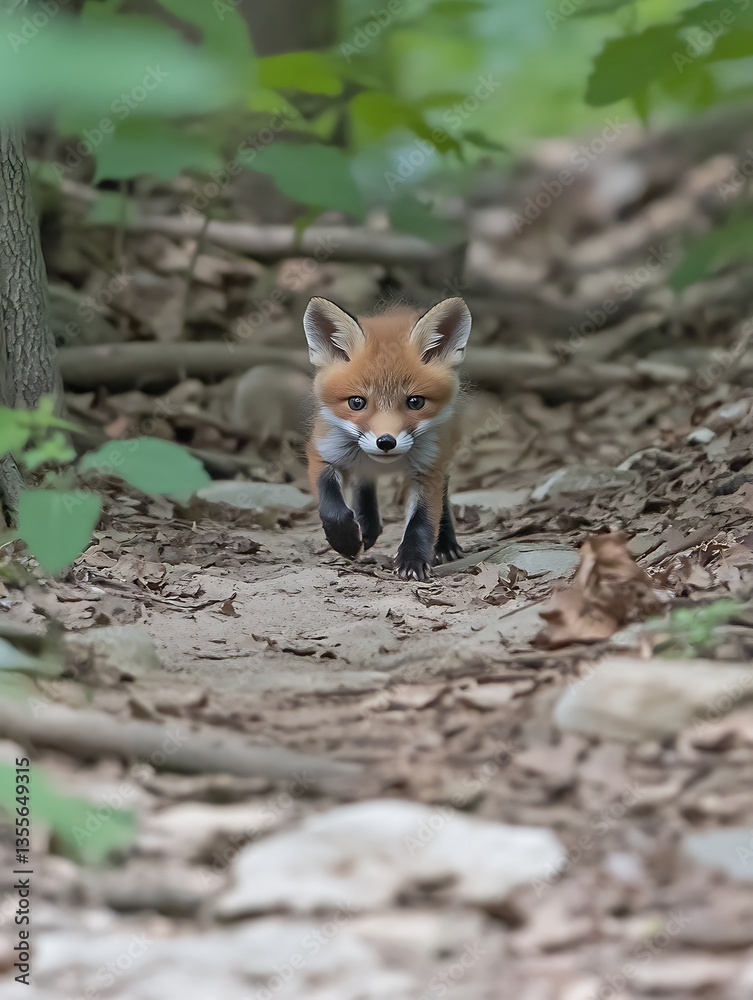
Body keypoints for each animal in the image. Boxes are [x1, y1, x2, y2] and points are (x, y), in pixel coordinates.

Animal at [303, 295, 472, 581]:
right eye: (356, 402)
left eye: (415, 402)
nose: (385, 442)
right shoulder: (324, 452)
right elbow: (332, 509)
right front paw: (346, 541)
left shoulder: (428, 467)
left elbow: (422, 520)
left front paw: (413, 559)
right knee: (363, 481)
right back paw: (367, 525)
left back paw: (445, 543)